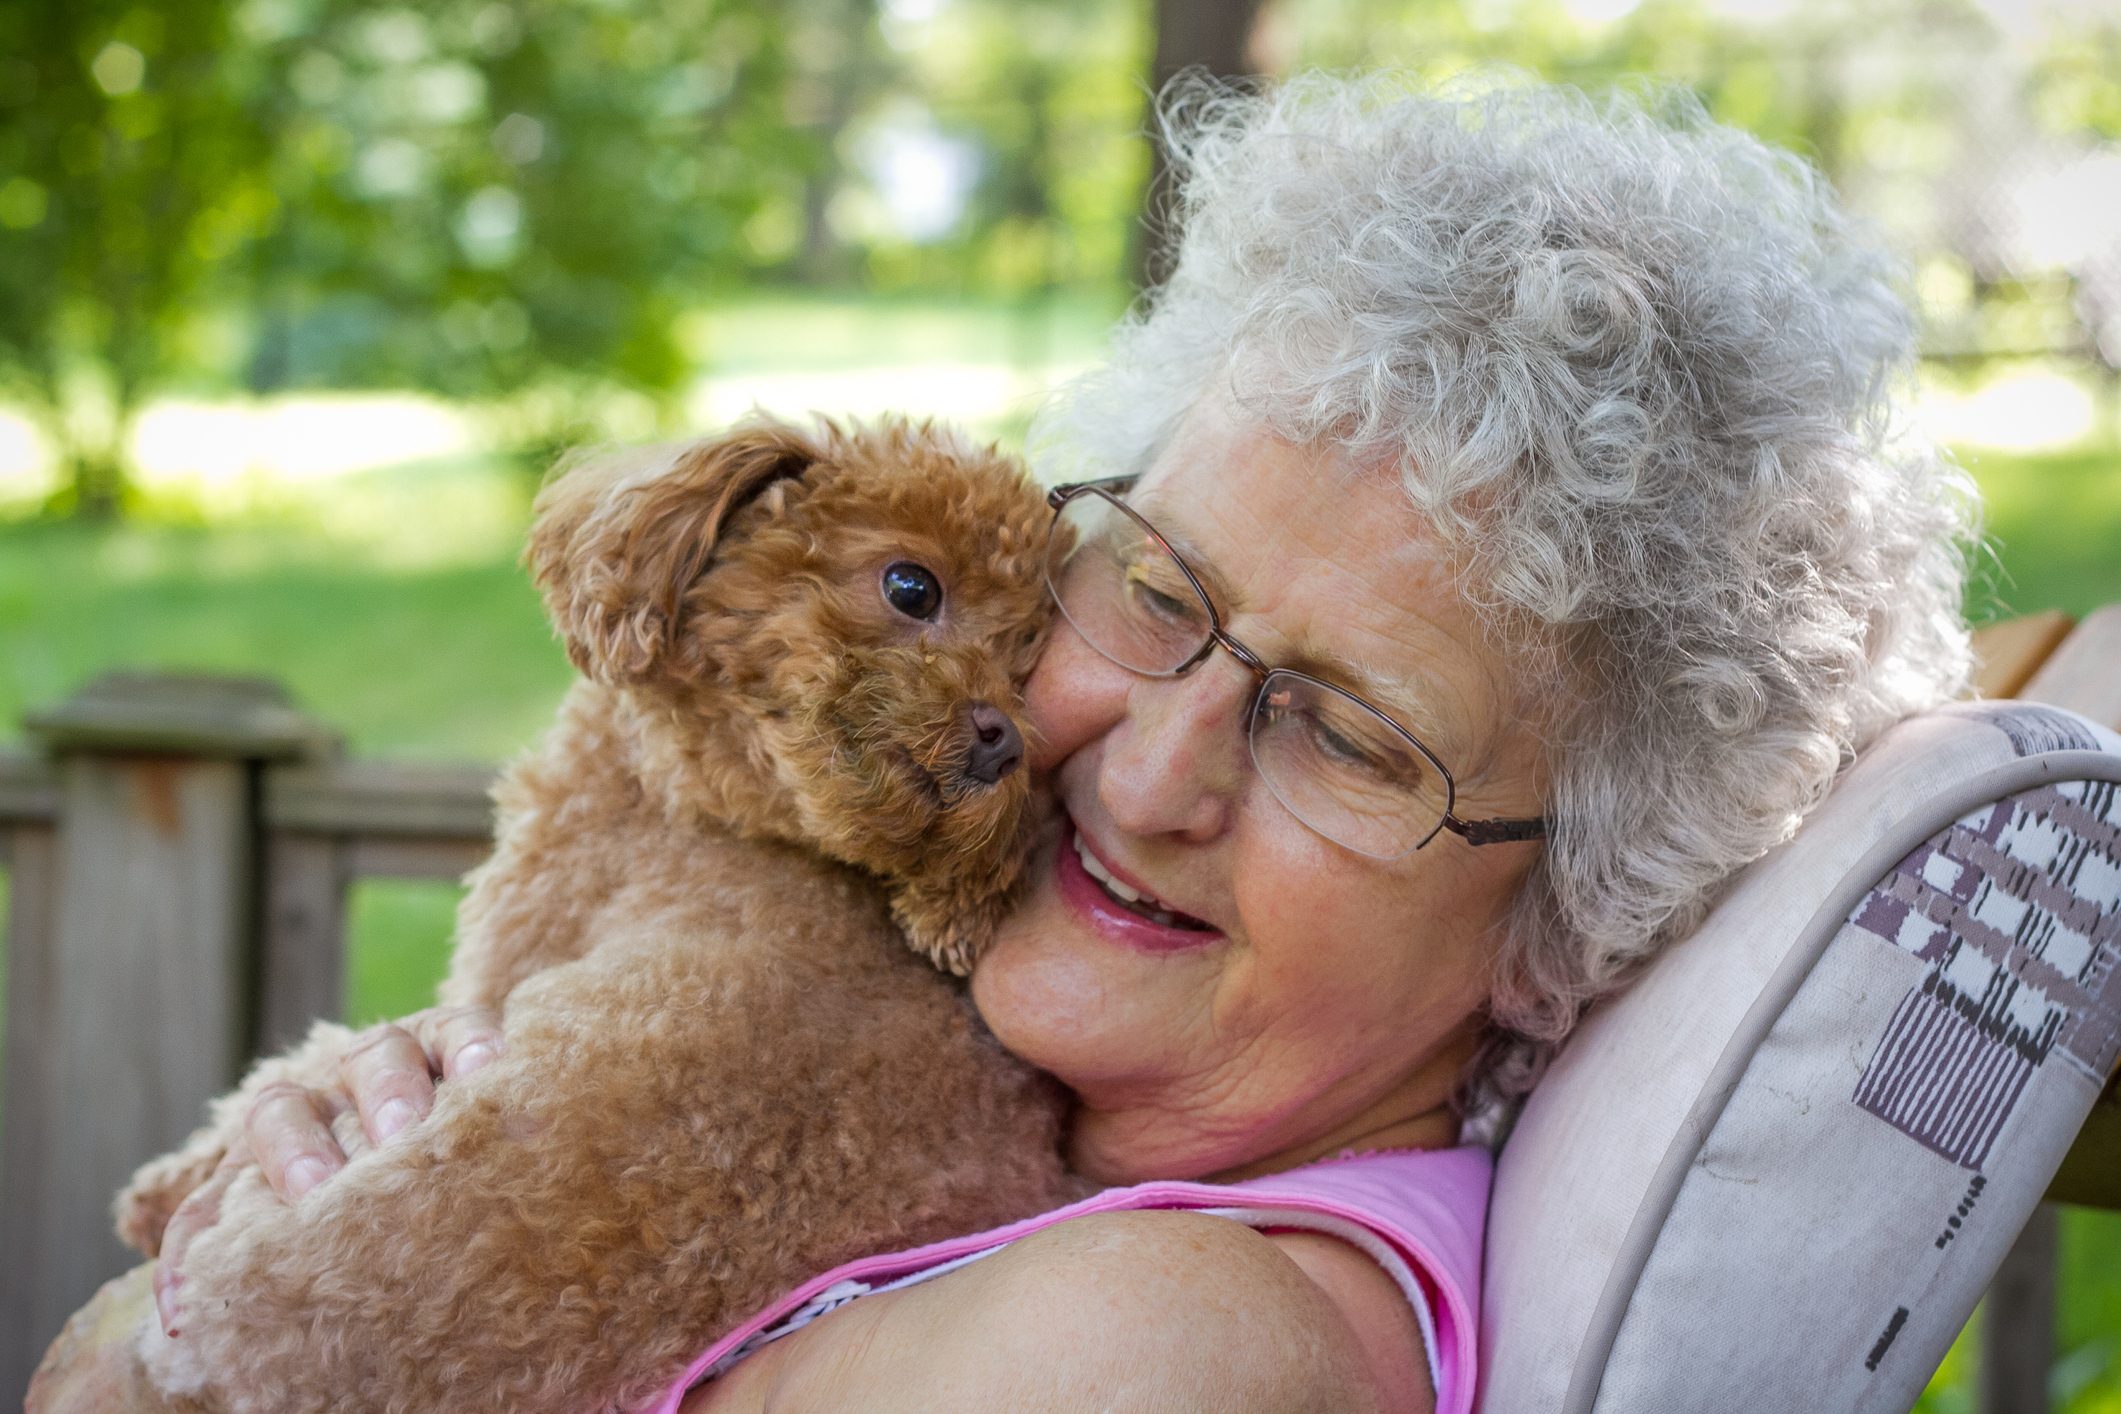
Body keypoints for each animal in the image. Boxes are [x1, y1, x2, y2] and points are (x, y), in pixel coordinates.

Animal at [29, 417, 1094, 1414]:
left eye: (1022, 655)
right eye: (912, 587)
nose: (1003, 739)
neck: (725, 811)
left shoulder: (503, 958)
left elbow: (301, 1063)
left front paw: (157, 1184)